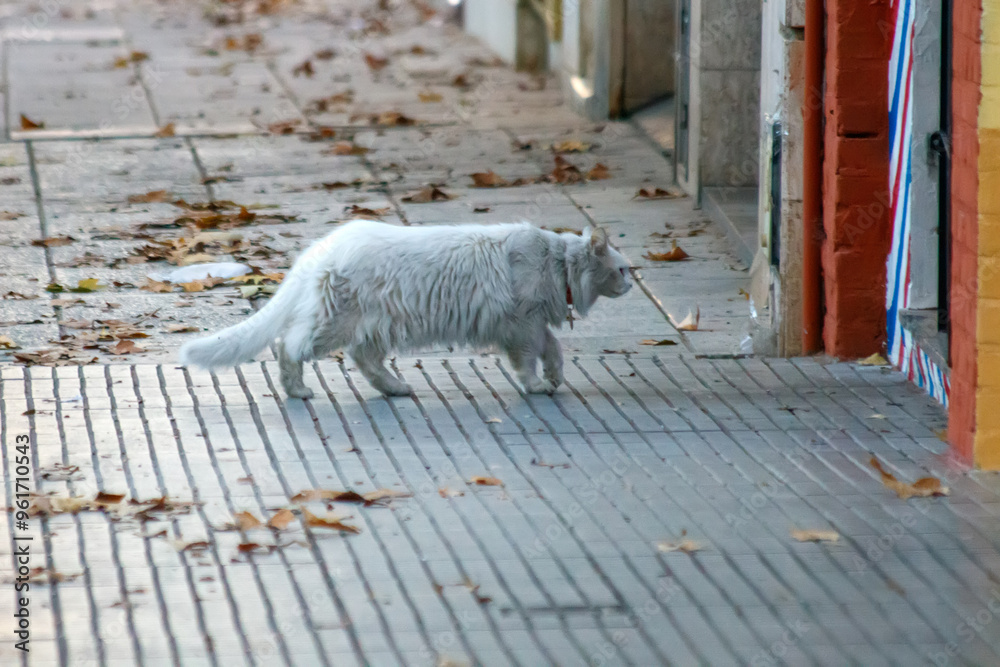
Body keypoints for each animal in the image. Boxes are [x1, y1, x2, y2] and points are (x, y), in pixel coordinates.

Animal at [180, 220, 632, 396]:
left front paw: (555, 378)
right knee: (287, 346)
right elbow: (532, 361)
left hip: (374, 327)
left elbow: (554, 349)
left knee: (365, 361)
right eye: (623, 268)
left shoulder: (533, 326)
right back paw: (298, 391)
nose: (632, 282)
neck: (556, 263)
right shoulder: (521, 327)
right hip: (335, 324)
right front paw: (539, 385)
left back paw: (396, 388)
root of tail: (322, 246)